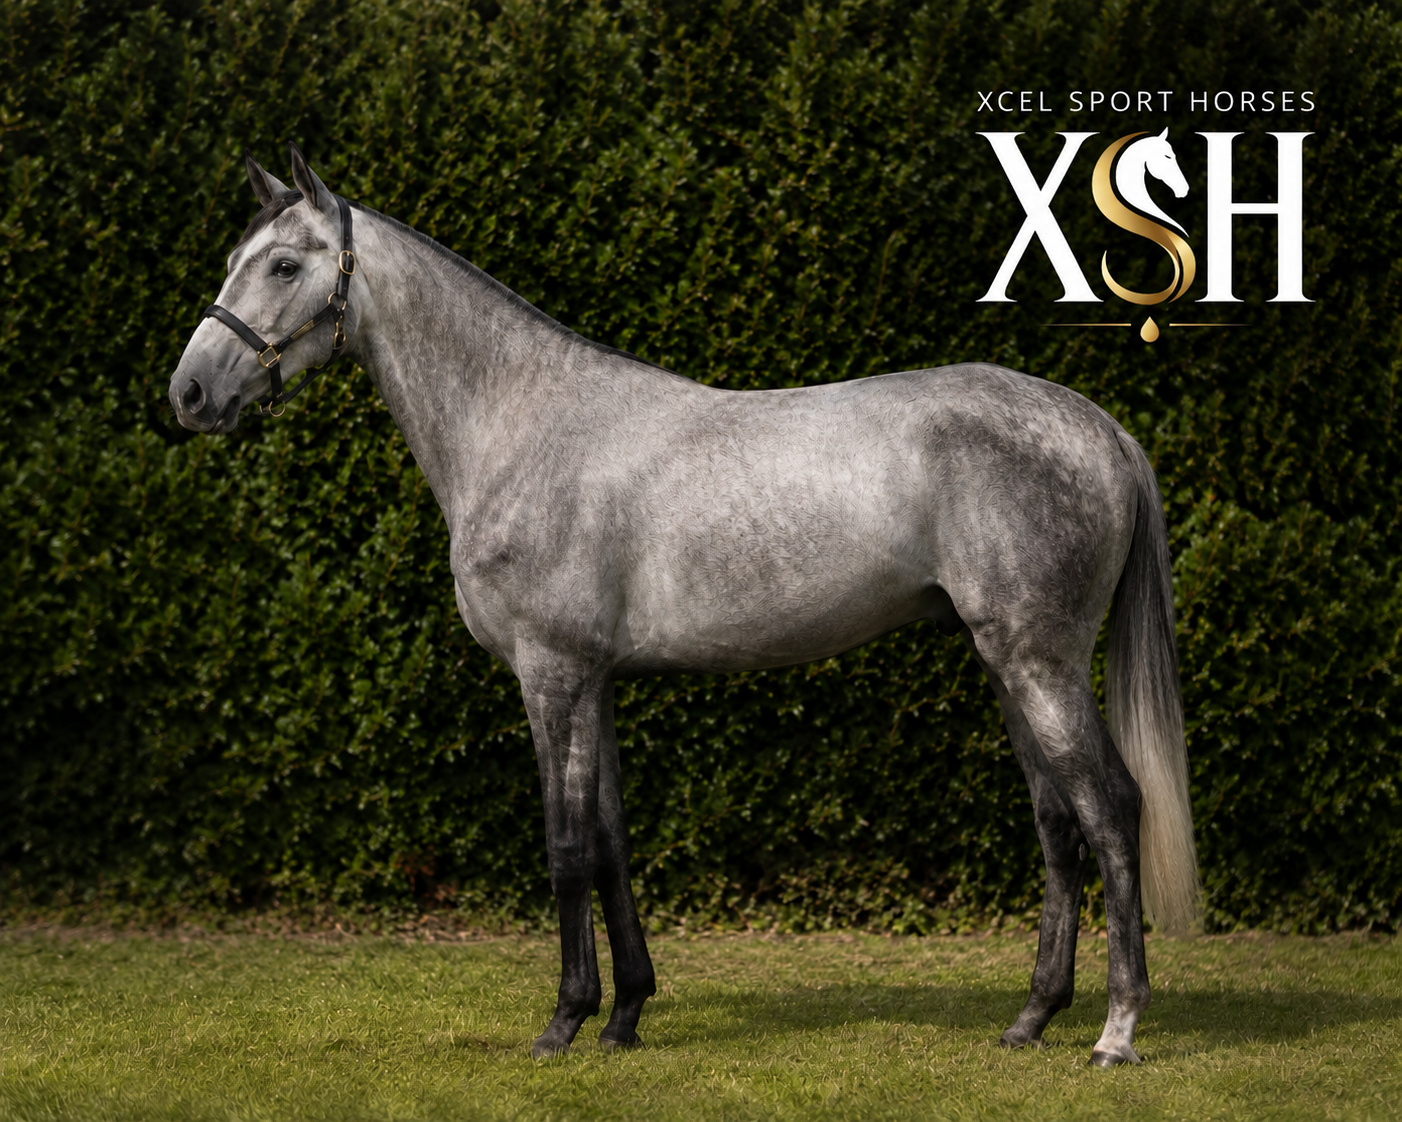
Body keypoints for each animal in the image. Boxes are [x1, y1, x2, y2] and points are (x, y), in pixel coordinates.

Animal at [169, 145, 1200, 1067]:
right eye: (231, 262)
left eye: (286, 264)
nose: (190, 392)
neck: (523, 425)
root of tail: (1101, 427)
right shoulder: (597, 682)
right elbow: (612, 842)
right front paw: (625, 1015)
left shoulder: (552, 675)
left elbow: (566, 847)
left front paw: (564, 1023)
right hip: (1007, 663)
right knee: (1058, 822)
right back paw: (1032, 1019)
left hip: (1039, 662)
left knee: (1111, 808)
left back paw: (1115, 1032)